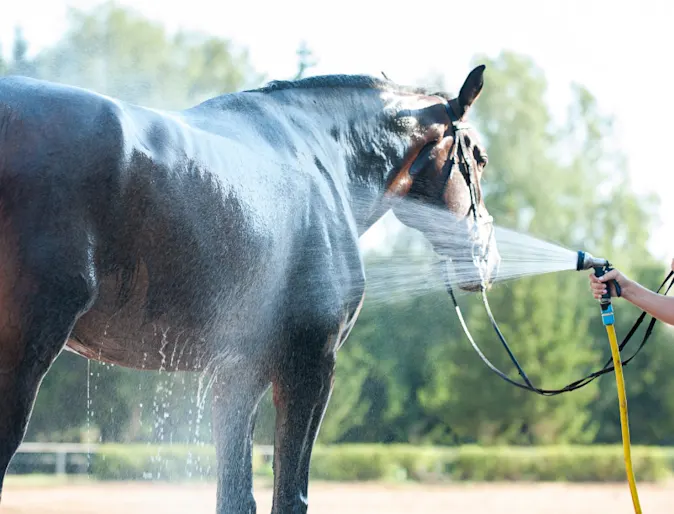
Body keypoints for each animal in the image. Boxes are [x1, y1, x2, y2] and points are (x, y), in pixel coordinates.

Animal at [0, 64, 499, 513]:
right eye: (479, 157)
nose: (490, 259)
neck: (324, 158)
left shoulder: (240, 372)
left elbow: (237, 496)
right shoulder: (310, 365)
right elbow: (290, 496)